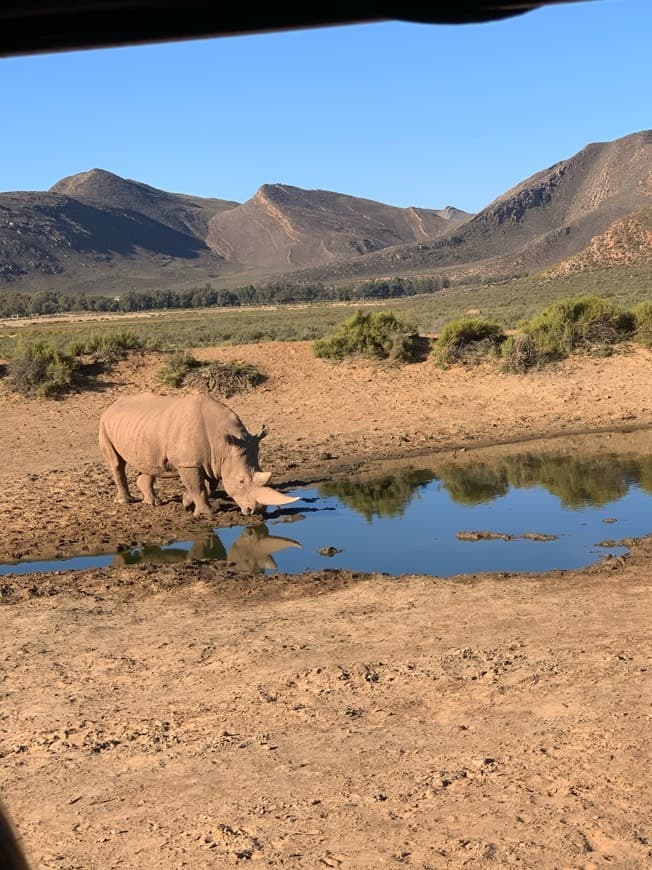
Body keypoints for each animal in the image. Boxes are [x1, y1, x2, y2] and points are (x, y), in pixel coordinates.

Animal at [98, 394, 298, 516]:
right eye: (241, 481)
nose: (256, 511)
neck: (224, 446)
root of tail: (113, 404)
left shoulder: (213, 461)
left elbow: (208, 486)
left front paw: (187, 503)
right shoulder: (189, 463)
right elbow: (198, 486)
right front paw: (205, 513)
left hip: (143, 427)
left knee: (148, 463)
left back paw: (152, 503)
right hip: (104, 422)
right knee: (117, 463)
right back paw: (125, 501)